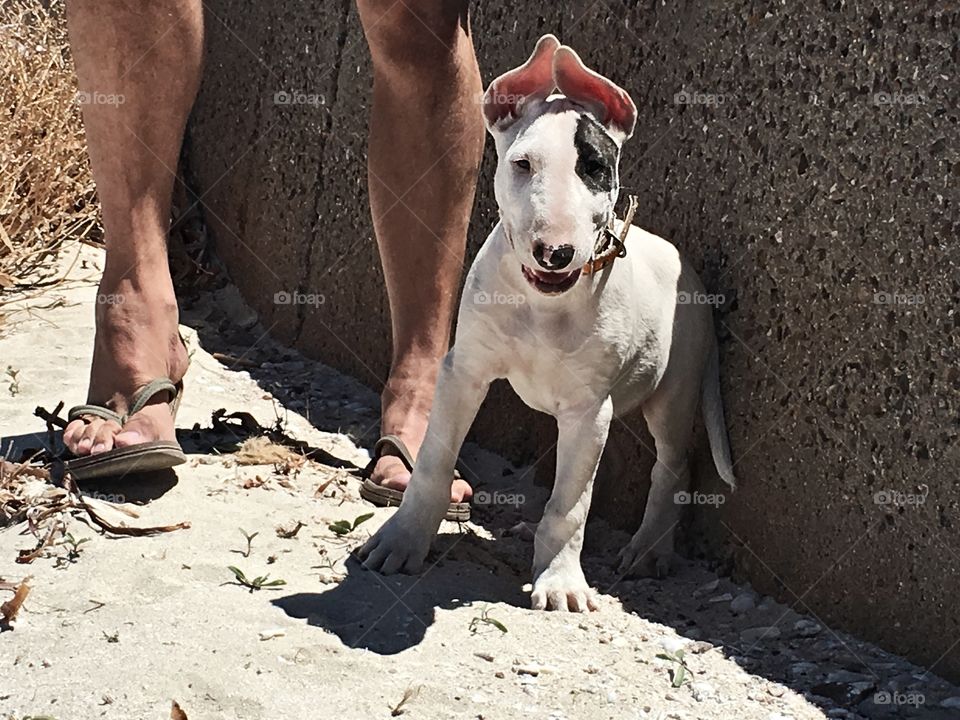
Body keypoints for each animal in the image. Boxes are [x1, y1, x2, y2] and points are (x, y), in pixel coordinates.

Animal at [360, 32, 736, 608]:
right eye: (522, 164)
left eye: (595, 167)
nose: (555, 253)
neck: (544, 304)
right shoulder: (463, 373)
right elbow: (431, 464)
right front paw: (402, 540)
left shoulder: (590, 412)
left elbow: (570, 505)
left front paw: (560, 580)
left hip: (676, 388)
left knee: (674, 464)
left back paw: (650, 550)